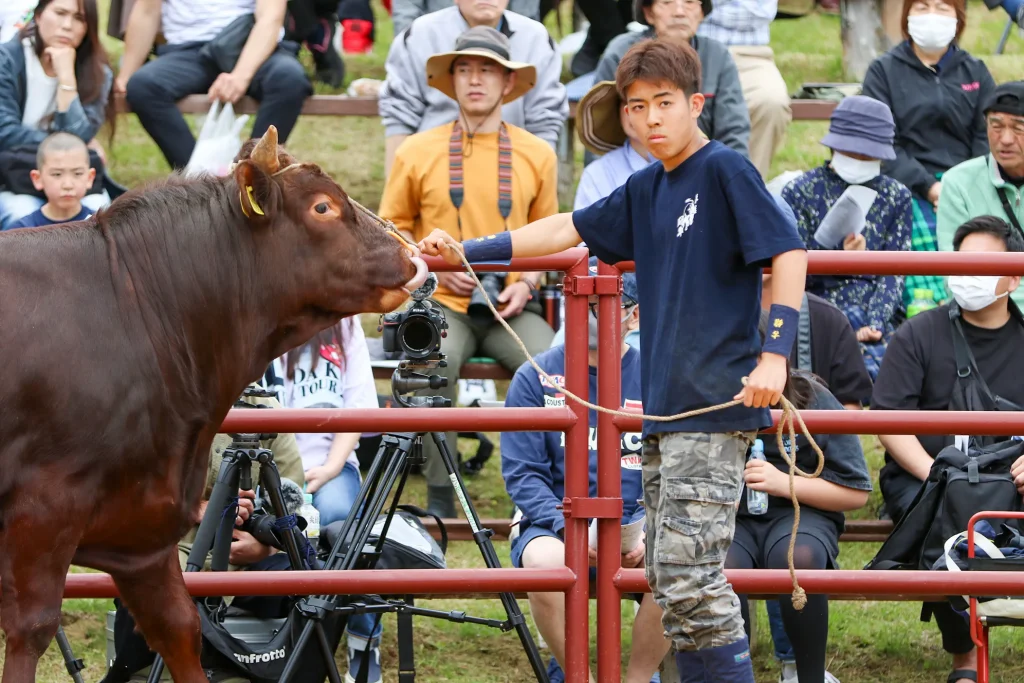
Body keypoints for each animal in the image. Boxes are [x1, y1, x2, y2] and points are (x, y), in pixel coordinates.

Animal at [0, 127, 428, 683]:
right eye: (323, 207)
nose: (412, 257)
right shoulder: (44, 512)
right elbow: (31, 631)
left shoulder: (141, 524)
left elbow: (178, 627)